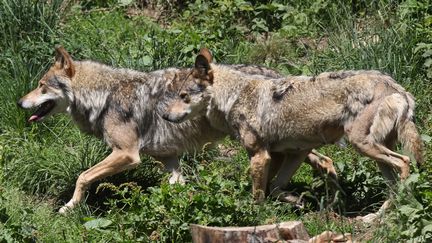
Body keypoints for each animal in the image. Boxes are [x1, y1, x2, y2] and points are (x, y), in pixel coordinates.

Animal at [16, 45, 334, 213]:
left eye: (41, 85)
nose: (19, 102)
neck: (104, 96)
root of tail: (275, 73)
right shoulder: (169, 160)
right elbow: (175, 188)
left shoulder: (127, 154)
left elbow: (83, 177)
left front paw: (69, 207)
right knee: (324, 161)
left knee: (320, 159)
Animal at [163, 48, 426, 219]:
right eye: (176, 95)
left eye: (184, 96)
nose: (165, 117)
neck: (234, 97)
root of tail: (396, 86)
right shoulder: (293, 153)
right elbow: (274, 188)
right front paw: (297, 202)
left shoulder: (260, 156)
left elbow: (258, 195)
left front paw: (256, 218)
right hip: (373, 153)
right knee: (392, 183)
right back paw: (377, 215)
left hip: (362, 144)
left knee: (404, 162)